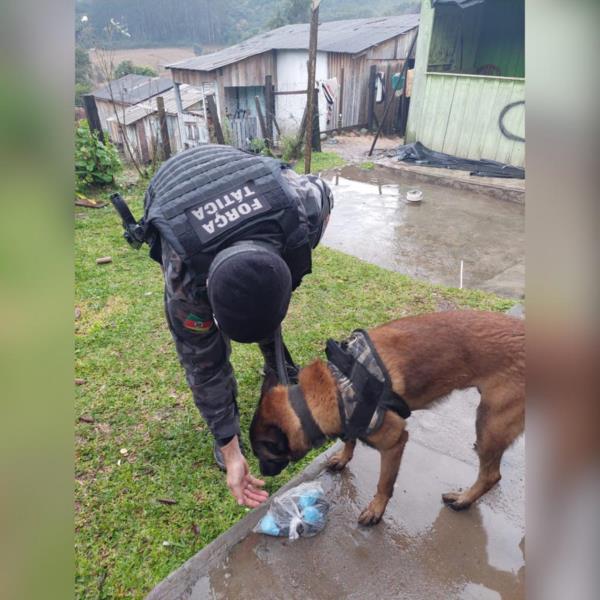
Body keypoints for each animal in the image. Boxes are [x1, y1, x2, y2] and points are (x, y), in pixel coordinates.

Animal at [251, 310, 524, 524]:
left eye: (264, 456)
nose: (263, 474)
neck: (334, 387)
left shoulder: (394, 442)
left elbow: (384, 483)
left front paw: (377, 509)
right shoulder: (352, 418)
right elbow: (349, 439)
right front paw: (344, 457)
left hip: (490, 422)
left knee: (491, 475)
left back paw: (464, 499)